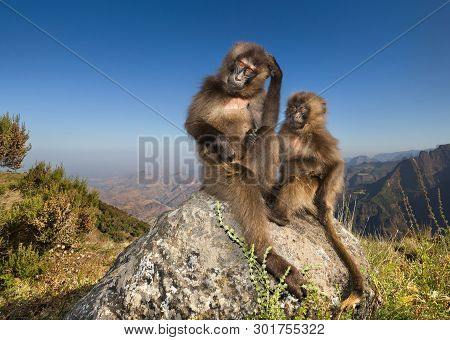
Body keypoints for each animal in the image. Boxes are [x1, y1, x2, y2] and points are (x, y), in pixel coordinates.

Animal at [268, 91, 364, 314]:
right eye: (293, 107)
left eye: (303, 109)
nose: (294, 114)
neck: (300, 132)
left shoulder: (321, 139)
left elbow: (334, 164)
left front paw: (323, 203)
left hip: (310, 190)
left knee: (300, 177)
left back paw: (281, 216)